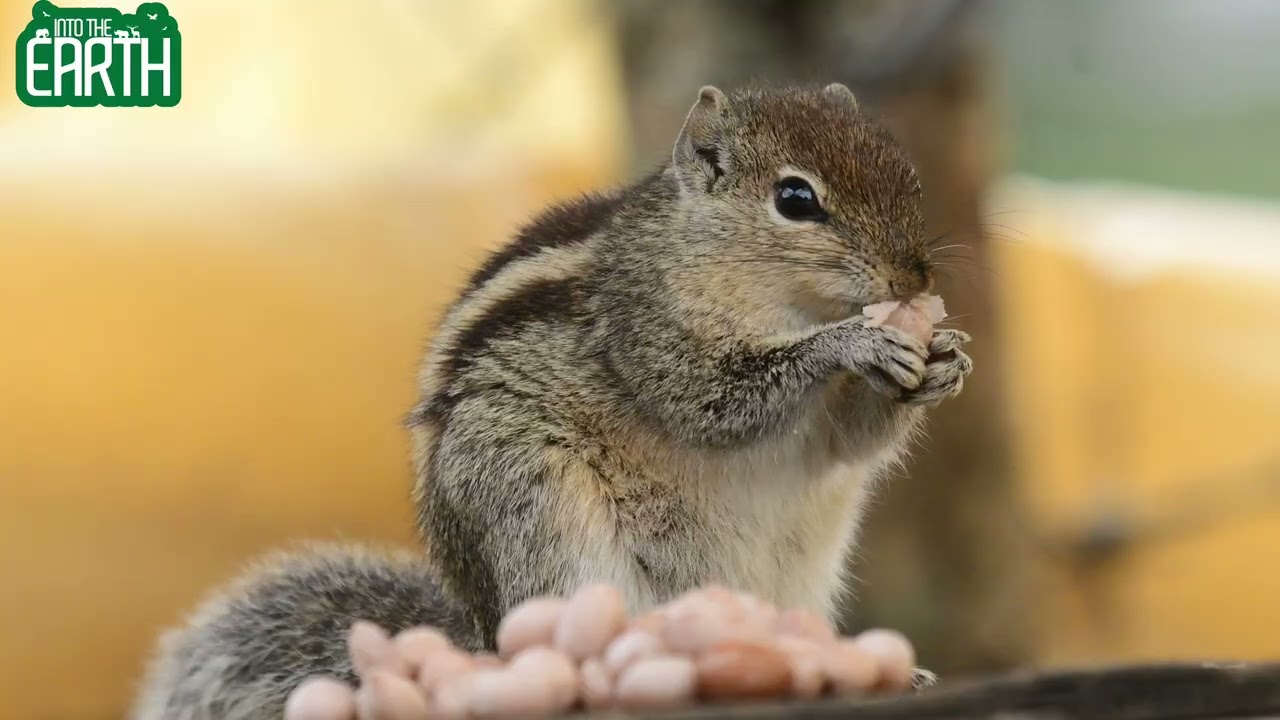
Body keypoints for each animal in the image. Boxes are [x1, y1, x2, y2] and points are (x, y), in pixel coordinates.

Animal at [130, 83, 972, 720]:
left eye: (908, 176)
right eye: (796, 199)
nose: (914, 280)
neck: (783, 301)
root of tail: (480, 638)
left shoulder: (827, 430)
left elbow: (848, 444)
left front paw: (944, 361)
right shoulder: (645, 330)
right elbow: (712, 400)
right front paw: (853, 344)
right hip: (540, 511)